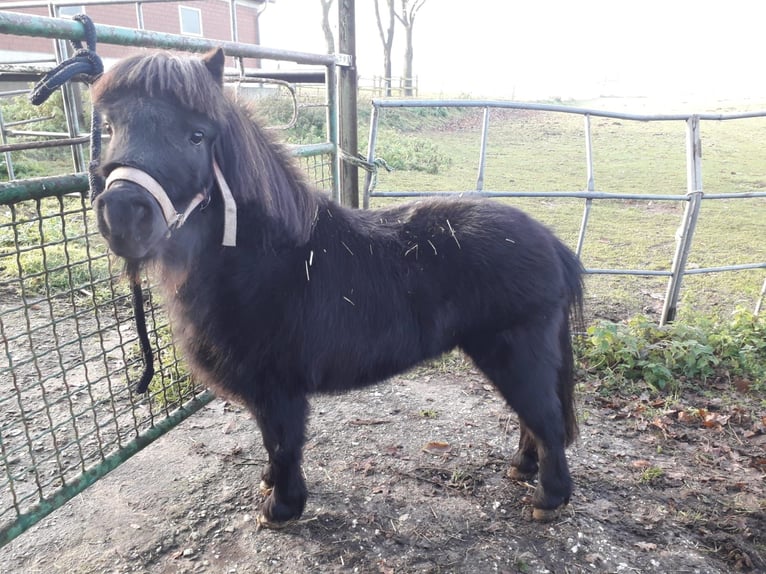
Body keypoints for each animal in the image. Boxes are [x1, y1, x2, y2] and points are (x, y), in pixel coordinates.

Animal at [94, 49, 588, 528]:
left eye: (196, 135)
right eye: (111, 126)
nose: (123, 215)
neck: (265, 258)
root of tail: (552, 244)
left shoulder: (278, 387)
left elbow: (282, 442)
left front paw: (281, 508)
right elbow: (271, 441)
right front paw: (270, 484)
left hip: (514, 353)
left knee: (545, 418)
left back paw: (549, 497)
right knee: (532, 418)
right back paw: (522, 468)